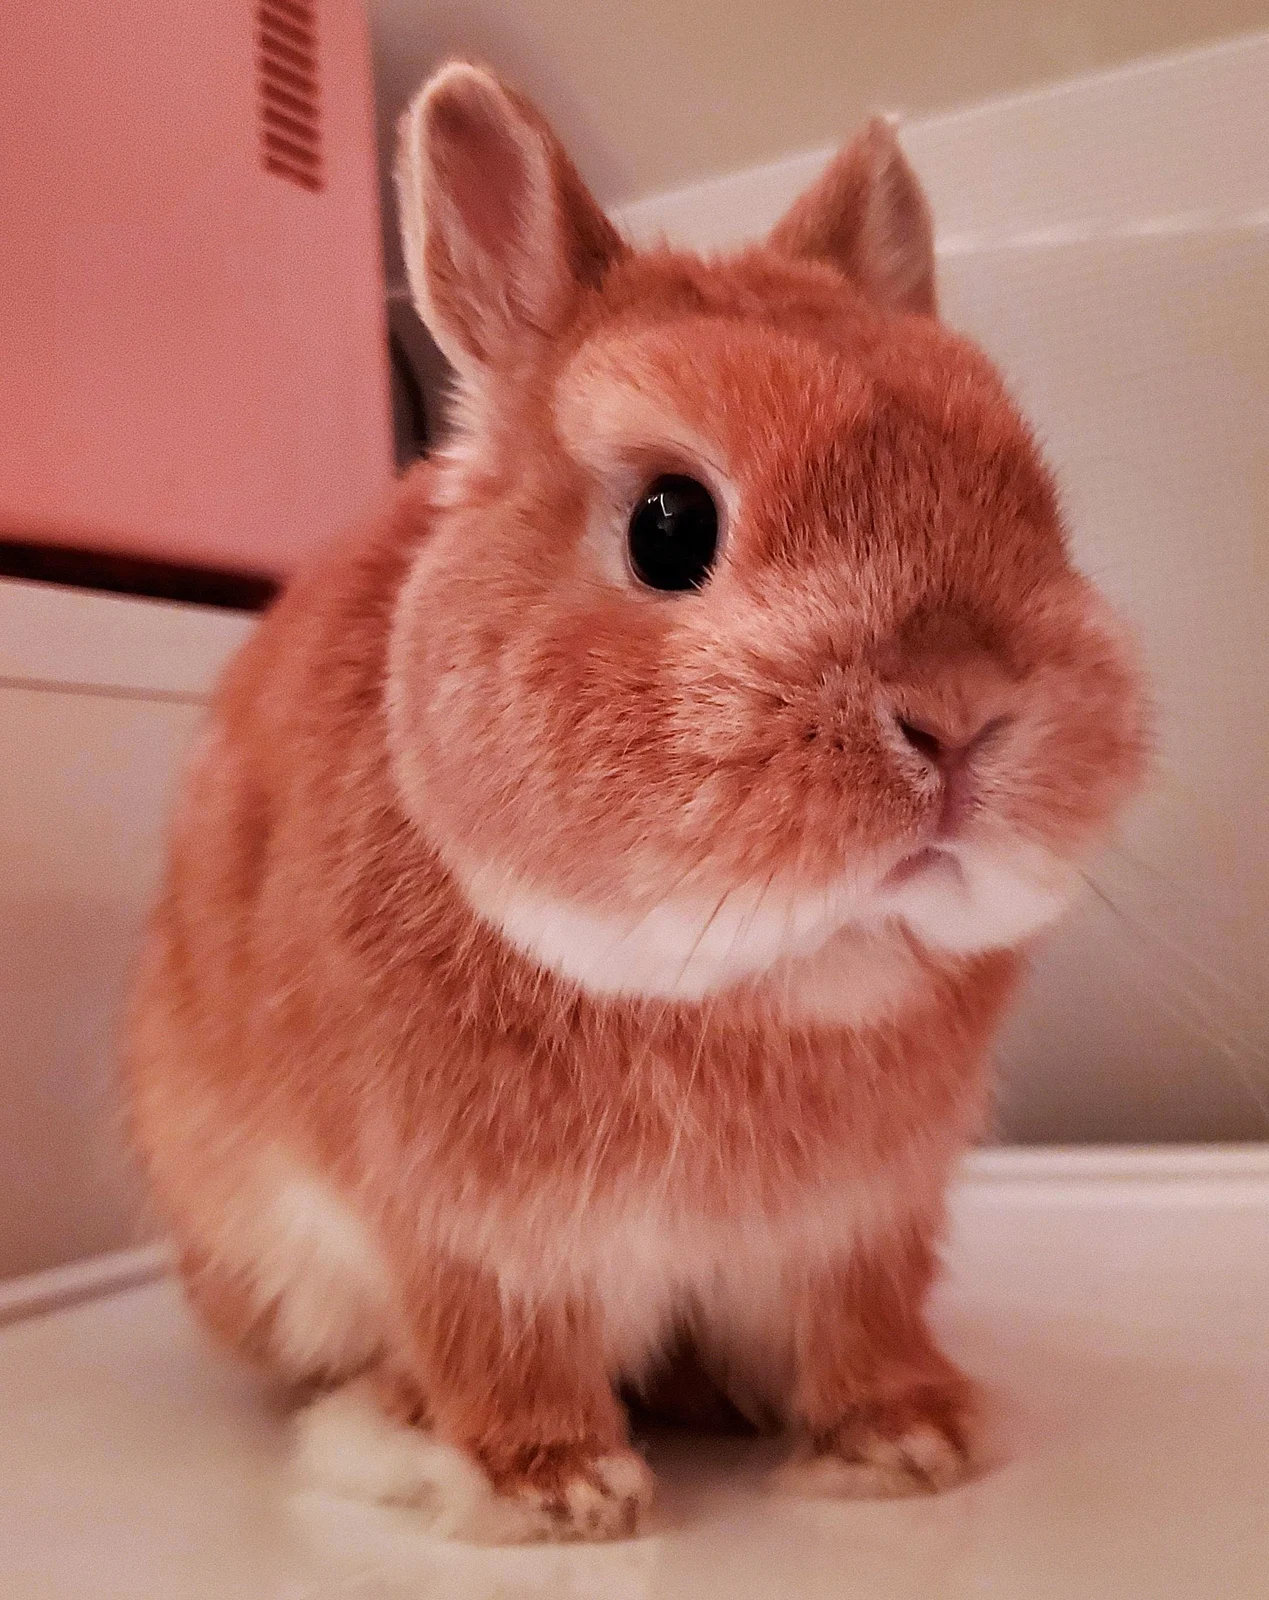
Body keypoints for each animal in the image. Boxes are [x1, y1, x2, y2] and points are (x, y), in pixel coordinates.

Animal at [124, 61, 1147, 1543]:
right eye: (670, 524)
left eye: (1027, 498)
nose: (958, 709)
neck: (760, 982)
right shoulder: (470, 1236)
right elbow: (499, 1347)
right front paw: (560, 1489)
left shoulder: (858, 1228)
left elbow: (858, 1329)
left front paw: (906, 1443)